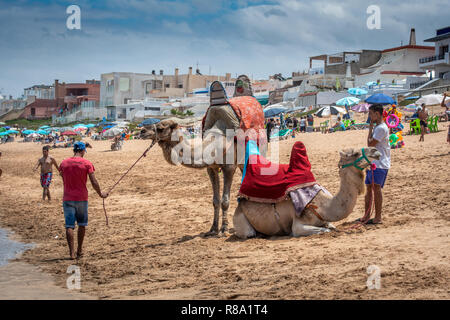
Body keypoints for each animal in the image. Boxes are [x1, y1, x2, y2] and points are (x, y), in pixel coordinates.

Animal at [234, 148, 382, 238]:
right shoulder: (298, 225)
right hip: (241, 221)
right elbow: (325, 230)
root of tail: (239, 204)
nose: (376, 151)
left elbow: (331, 226)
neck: (324, 206)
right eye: (355, 153)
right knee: (249, 233)